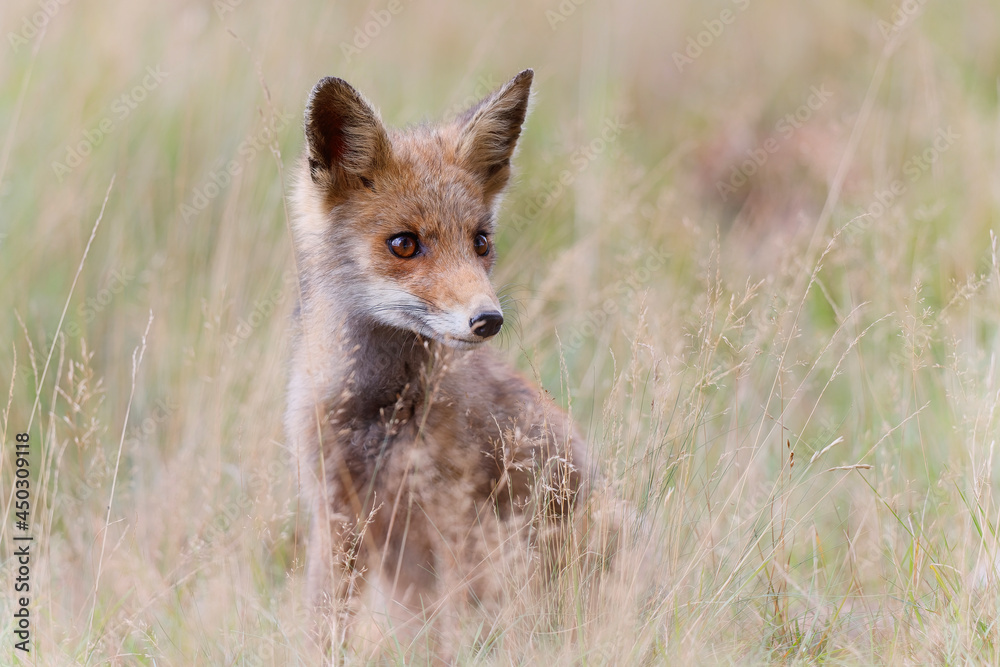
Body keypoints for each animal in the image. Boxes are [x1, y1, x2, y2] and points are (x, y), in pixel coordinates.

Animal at [285, 69, 600, 657]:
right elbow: (322, 632)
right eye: (404, 244)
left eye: (481, 242)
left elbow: (447, 643)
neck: (378, 415)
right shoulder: (336, 514)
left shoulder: (452, 521)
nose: (488, 320)